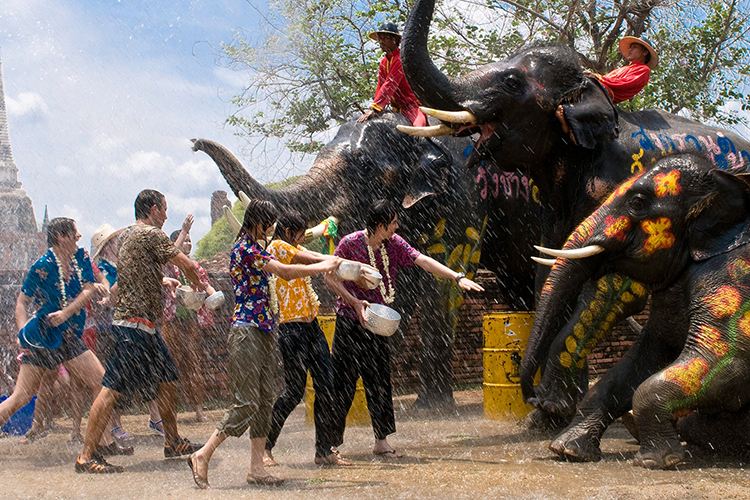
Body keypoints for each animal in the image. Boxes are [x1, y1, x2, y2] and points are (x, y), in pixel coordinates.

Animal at [194, 111, 540, 408]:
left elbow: (444, 281)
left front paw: (431, 407)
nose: (195, 143)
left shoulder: (465, 198)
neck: (415, 129)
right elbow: (397, 287)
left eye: (363, 166)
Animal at [536, 154, 750, 466]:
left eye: (637, 203)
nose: (542, 402)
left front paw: (656, 461)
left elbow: (727, 361)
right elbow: (647, 357)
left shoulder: (733, 280)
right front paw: (566, 450)